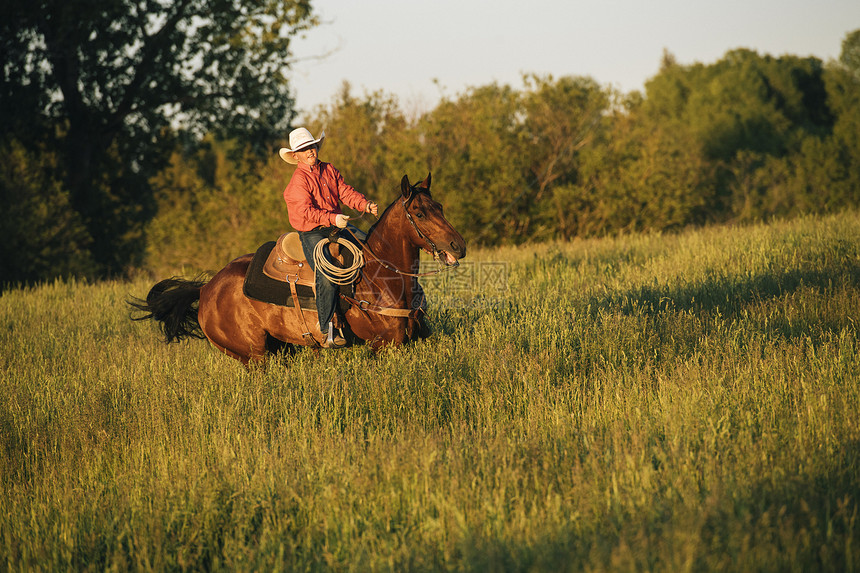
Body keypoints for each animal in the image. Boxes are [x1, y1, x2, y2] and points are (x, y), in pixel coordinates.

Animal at [129, 172, 464, 364]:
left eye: (440, 207)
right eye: (419, 213)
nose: (458, 245)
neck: (382, 278)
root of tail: (206, 289)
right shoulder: (384, 345)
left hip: (280, 348)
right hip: (255, 356)